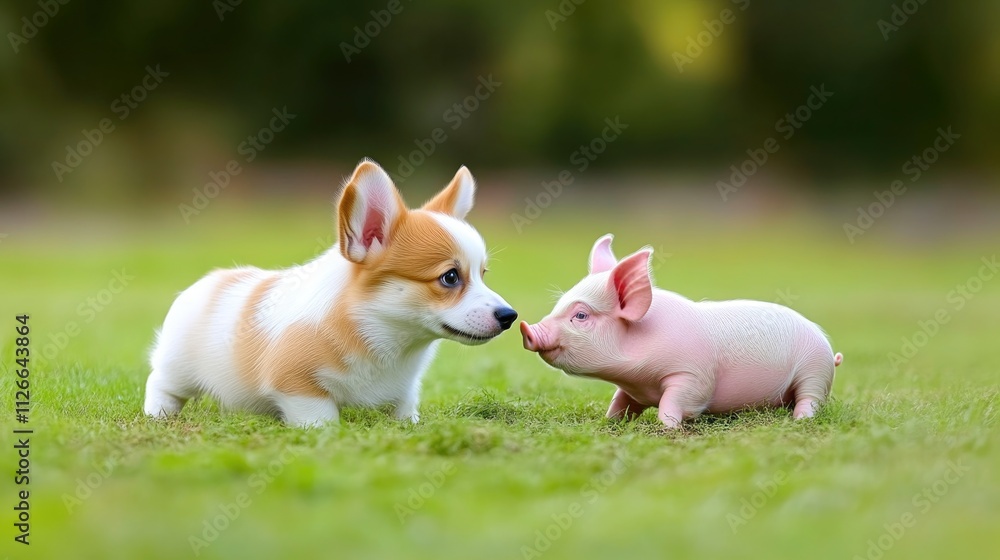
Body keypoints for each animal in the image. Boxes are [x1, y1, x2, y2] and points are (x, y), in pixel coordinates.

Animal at [520, 234, 842, 428]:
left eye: (581, 315)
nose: (527, 328)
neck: (641, 379)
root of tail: (828, 347)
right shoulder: (630, 388)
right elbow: (619, 402)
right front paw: (609, 422)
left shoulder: (694, 375)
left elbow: (674, 402)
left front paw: (668, 427)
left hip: (814, 371)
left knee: (810, 399)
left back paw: (800, 421)